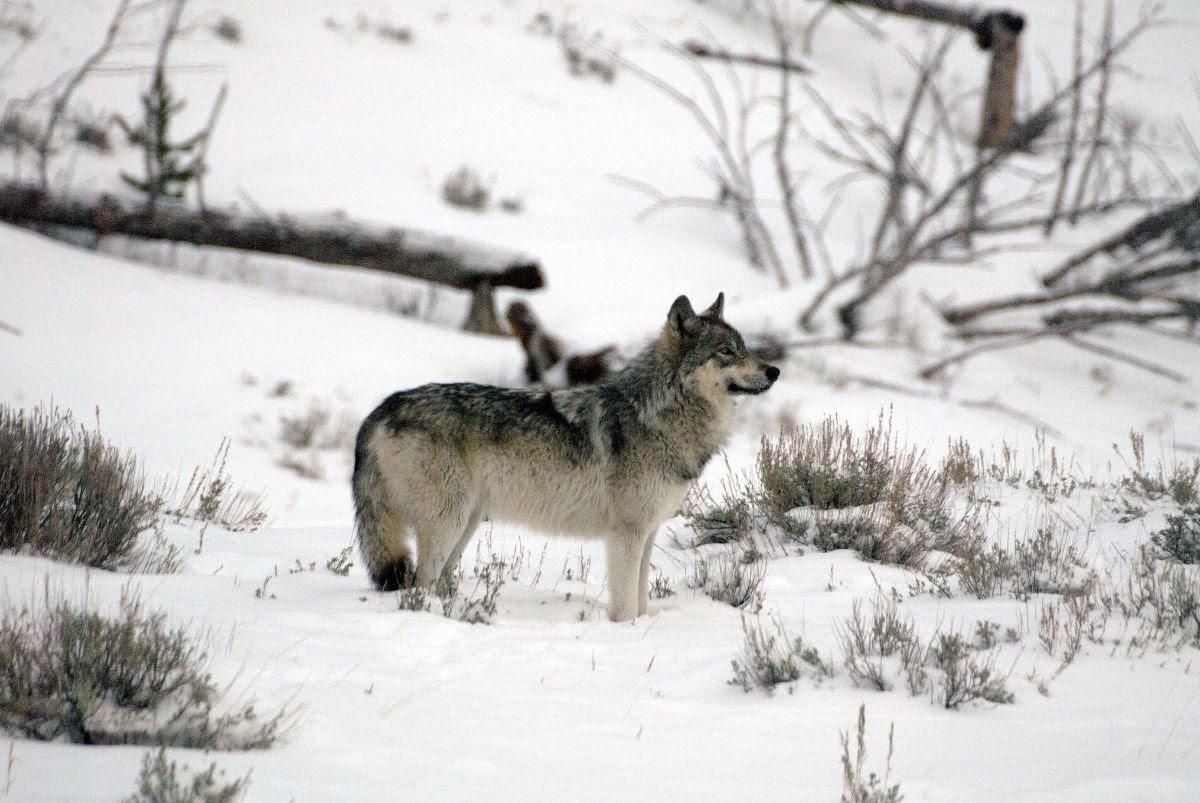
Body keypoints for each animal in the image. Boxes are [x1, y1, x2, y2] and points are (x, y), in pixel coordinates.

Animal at [352, 293, 779, 621]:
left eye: (745, 348)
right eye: (726, 351)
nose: (774, 370)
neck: (660, 414)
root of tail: (381, 409)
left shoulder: (649, 531)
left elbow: (641, 599)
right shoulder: (626, 533)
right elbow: (626, 604)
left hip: (464, 525)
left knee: (435, 582)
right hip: (448, 524)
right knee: (419, 585)